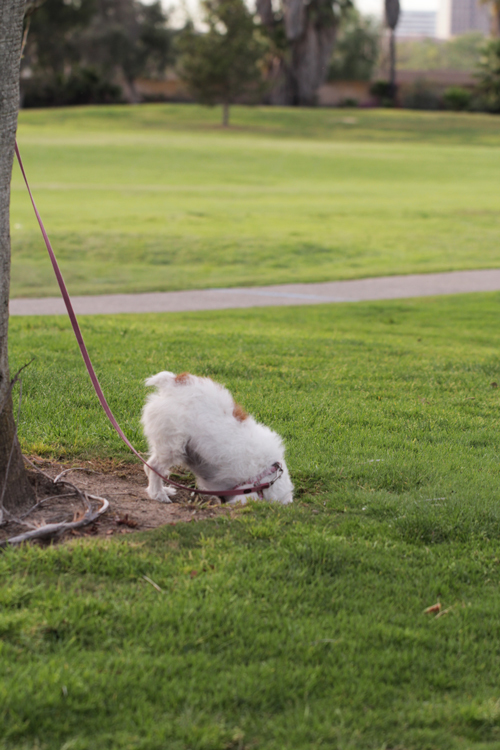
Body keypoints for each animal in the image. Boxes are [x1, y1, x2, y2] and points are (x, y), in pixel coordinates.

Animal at [141, 374, 292, 508]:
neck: (267, 476)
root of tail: (172, 382)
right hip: (172, 445)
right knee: (154, 467)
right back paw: (158, 494)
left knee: (150, 467)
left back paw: (163, 490)